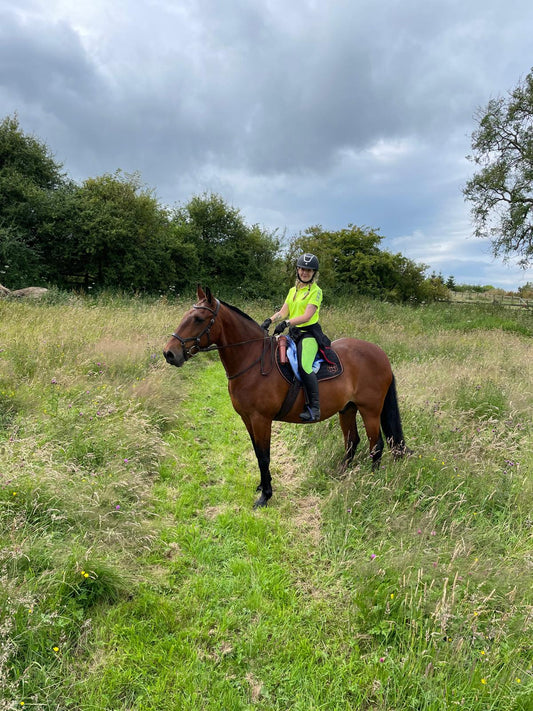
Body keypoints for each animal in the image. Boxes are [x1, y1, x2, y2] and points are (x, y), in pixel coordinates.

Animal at [163, 286, 410, 508]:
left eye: (198, 319)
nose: (169, 353)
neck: (252, 361)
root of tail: (380, 354)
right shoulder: (247, 418)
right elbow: (257, 453)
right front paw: (262, 487)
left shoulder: (261, 419)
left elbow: (264, 456)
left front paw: (265, 496)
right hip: (347, 408)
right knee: (352, 441)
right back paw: (342, 473)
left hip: (370, 410)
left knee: (376, 444)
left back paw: (371, 482)